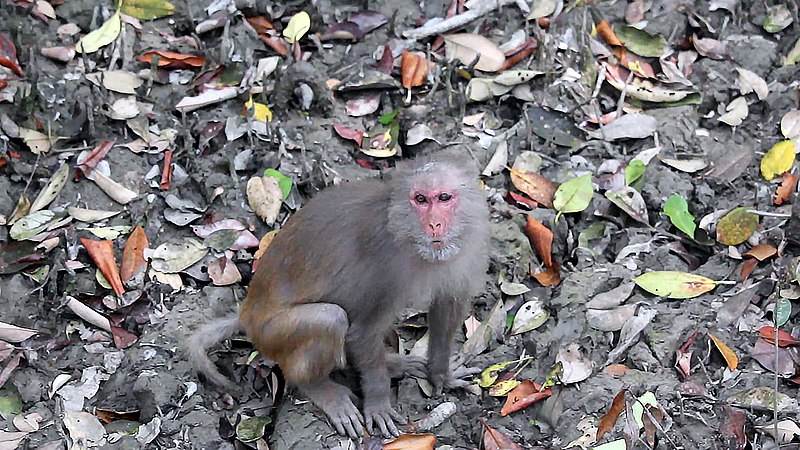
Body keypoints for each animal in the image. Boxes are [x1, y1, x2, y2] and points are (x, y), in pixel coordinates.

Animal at [189, 149, 488, 438]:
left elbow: (447, 309)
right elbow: (363, 332)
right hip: (271, 335)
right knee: (330, 319)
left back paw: (393, 364)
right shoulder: (386, 268)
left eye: (444, 197)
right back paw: (318, 387)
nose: (434, 225)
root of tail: (247, 316)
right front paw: (378, 404)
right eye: (421, 199)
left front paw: (442, 375)